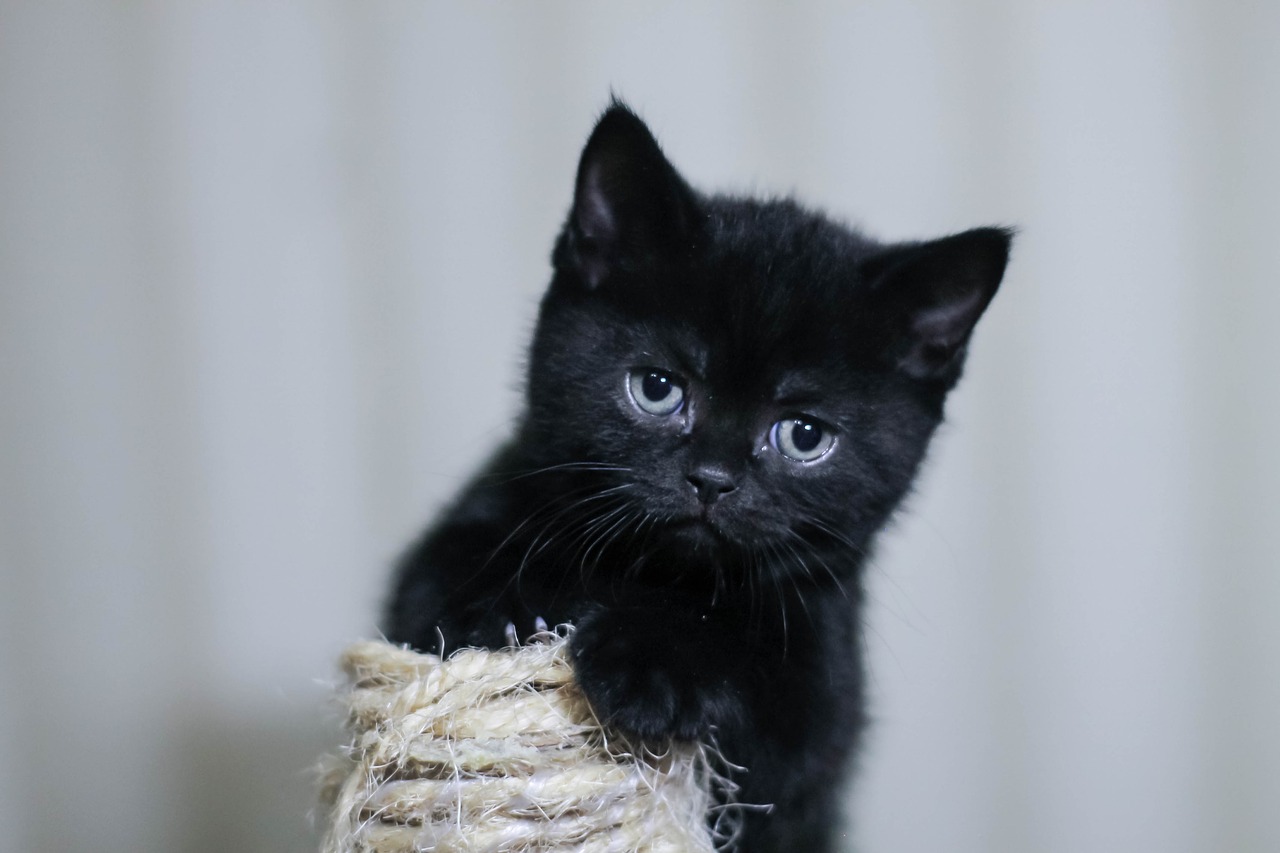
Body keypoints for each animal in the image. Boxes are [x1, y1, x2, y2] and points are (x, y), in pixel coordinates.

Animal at [381, 103, 1008, 845]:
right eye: (657, 388)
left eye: (804, 435)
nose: (712, 478)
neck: (655, 573)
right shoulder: (474, 517)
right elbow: (438, 581)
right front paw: (498, 603)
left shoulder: (823, 690)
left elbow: (767, 694)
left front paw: (655, 661)